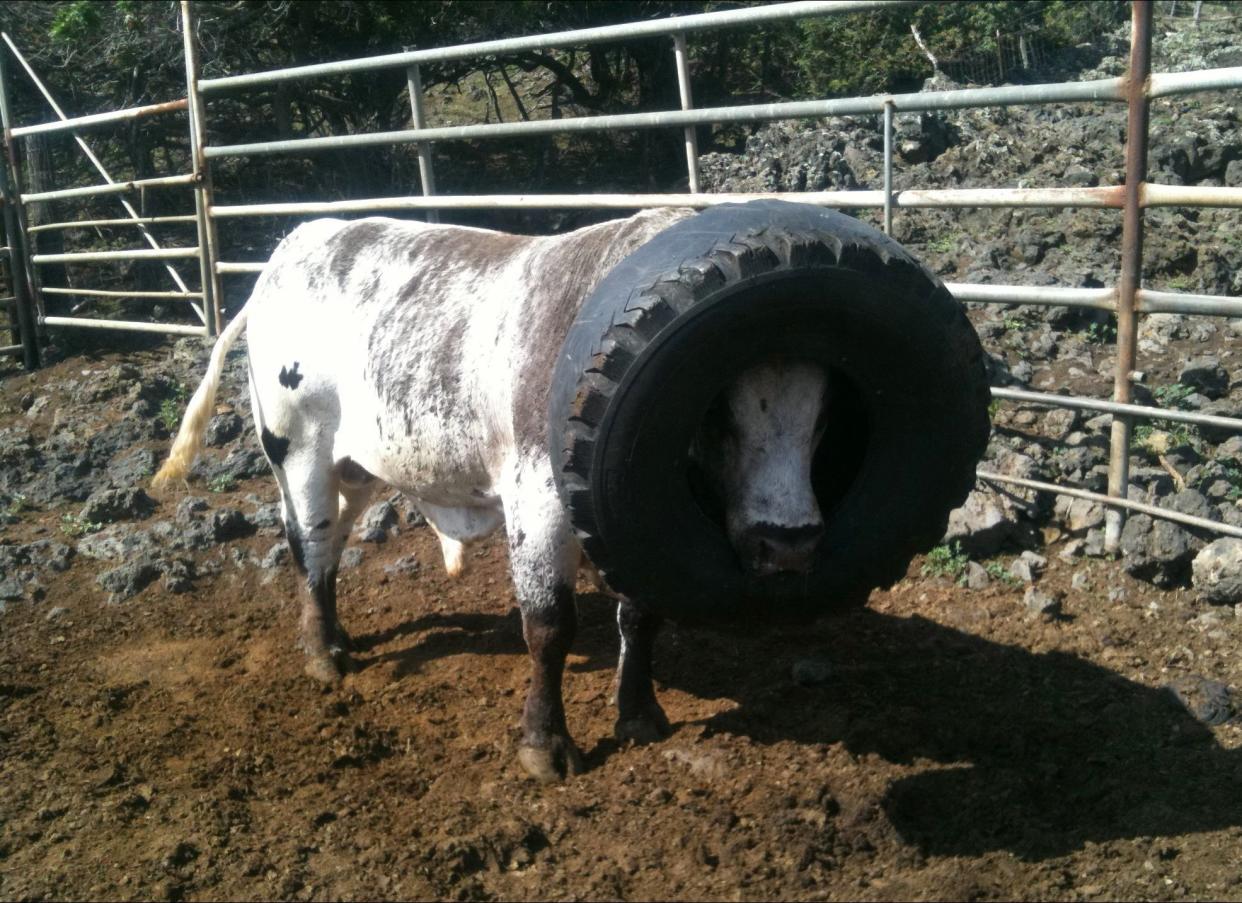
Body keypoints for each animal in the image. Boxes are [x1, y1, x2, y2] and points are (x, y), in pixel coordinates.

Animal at [157, 213, 834, 785]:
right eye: (716, 416)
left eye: (823, 415)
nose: (789, 542)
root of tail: (295, 245)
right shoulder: (539, 505)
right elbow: (549, 628)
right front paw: (545, 745)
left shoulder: (633, 525)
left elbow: (642, 616)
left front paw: (640, 713)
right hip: (300, 454)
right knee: (311, 543)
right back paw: (324, 654)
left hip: (357, 467)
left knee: (329, 544)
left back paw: (332, 635)